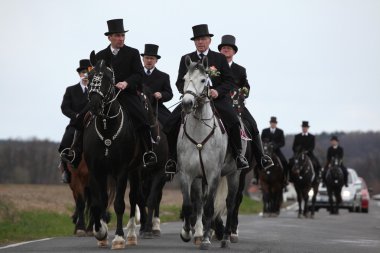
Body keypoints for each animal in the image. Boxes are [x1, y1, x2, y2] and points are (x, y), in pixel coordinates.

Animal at [84, 53, 142, 249]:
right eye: (89, 76)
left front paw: (118, 238)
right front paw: (100, 232)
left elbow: (119, 204)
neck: (107, 128)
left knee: (133, 197)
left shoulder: (121, 170)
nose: (94, 104)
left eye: (108, 78)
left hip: (135, 170)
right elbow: (99, 201)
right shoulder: (96, 170)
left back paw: (131, 235)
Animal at [126, 84, 168, 239]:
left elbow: (151, 200)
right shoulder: (136, 173)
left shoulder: (160, 172)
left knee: (157, 197)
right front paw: (144, 227)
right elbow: (140, 198)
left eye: (144, 101)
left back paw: (155, 226)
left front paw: (150, 229)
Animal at [177, 55, 243, 249]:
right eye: (184, 79)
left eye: (203, 80)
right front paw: (186, 233)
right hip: (201, 178)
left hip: (234, 174)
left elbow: (209, 208)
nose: (187, 103)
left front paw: (206, 240)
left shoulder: (213, 174)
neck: (199, 131)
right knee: (200, 201)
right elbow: (189, 205)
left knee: (230, 203)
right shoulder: (186, 173)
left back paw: (226, 237)